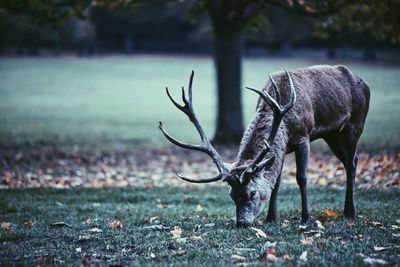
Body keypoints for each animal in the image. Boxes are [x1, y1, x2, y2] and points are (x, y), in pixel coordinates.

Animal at [158, 65, 370, 228]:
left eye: (251, 192)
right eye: (231, 195)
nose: (242, 223)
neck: (284, 120)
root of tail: (363, 82)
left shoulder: (303, 135)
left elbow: (301, 178)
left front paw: (306, 218)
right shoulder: (282, 148)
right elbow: (276, 181)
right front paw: (271, 218)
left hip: (355, 124)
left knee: (351, 161)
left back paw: (350, 211)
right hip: (333, 135)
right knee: (350, 160)